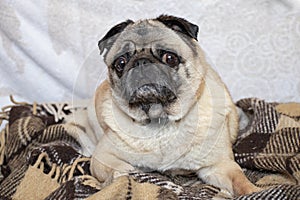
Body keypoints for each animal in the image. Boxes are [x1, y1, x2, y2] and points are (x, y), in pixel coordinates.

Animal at [89, 14, 260, 196]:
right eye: (121, 63)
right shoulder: (102, 157)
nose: (141, 62)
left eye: (169, 58)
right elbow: (123, 169)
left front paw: (254, 191)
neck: (160, 121)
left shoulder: (220, 165)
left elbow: (240, 180)